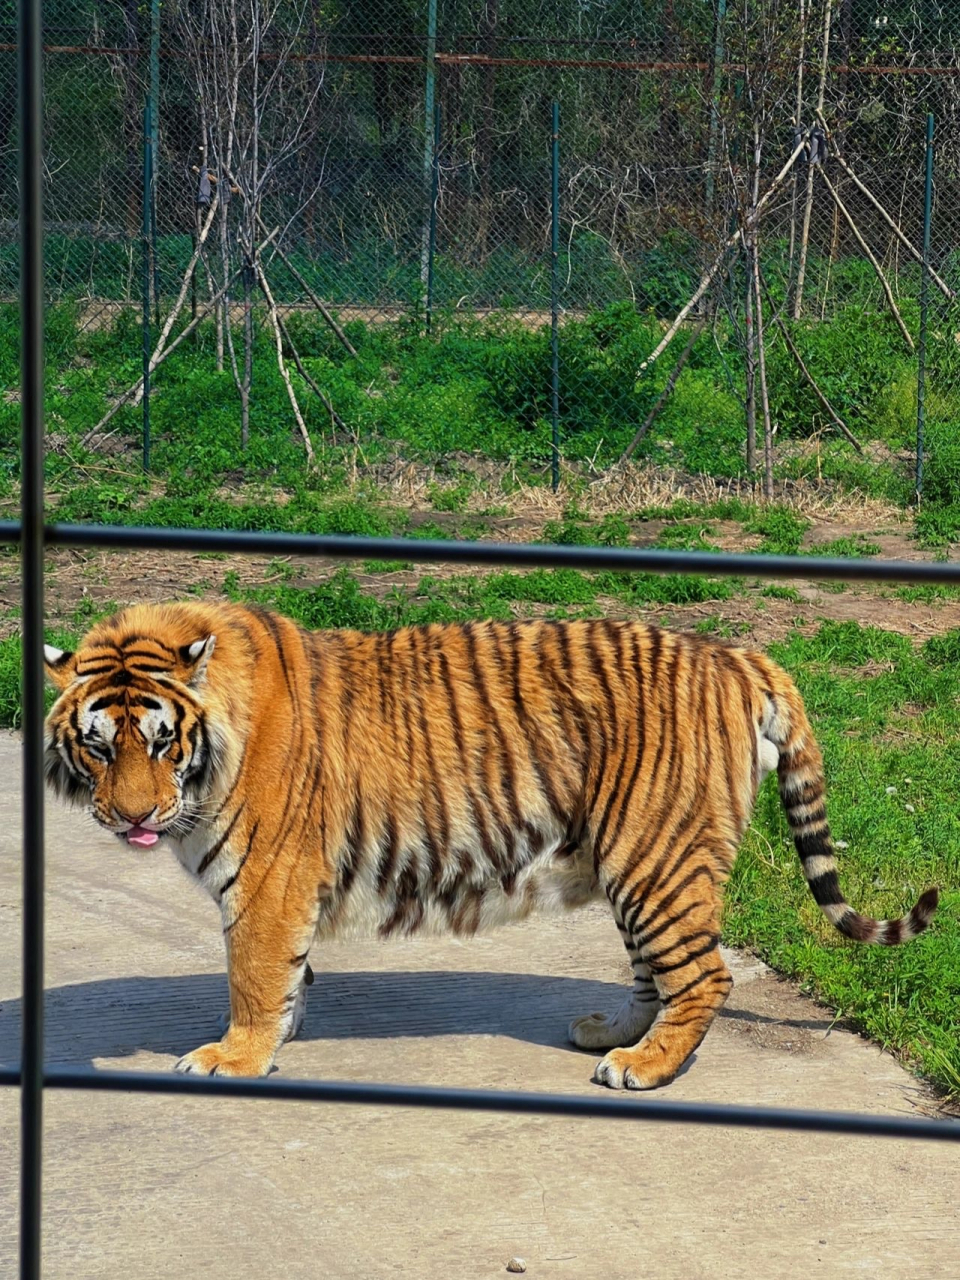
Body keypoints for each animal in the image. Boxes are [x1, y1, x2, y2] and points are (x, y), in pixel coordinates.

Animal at [45, 599, 942, 1090]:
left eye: (161, 741)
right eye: (98, 746)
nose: (131, 818)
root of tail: (737, 652)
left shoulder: (268, 881)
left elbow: (254, 977)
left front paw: (234, 1056)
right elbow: (288, 975)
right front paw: (276, 1039)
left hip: (654, 857)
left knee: (704, 975)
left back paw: (644, 1067)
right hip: (634, 861)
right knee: (655, 973)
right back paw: (615, 1035)